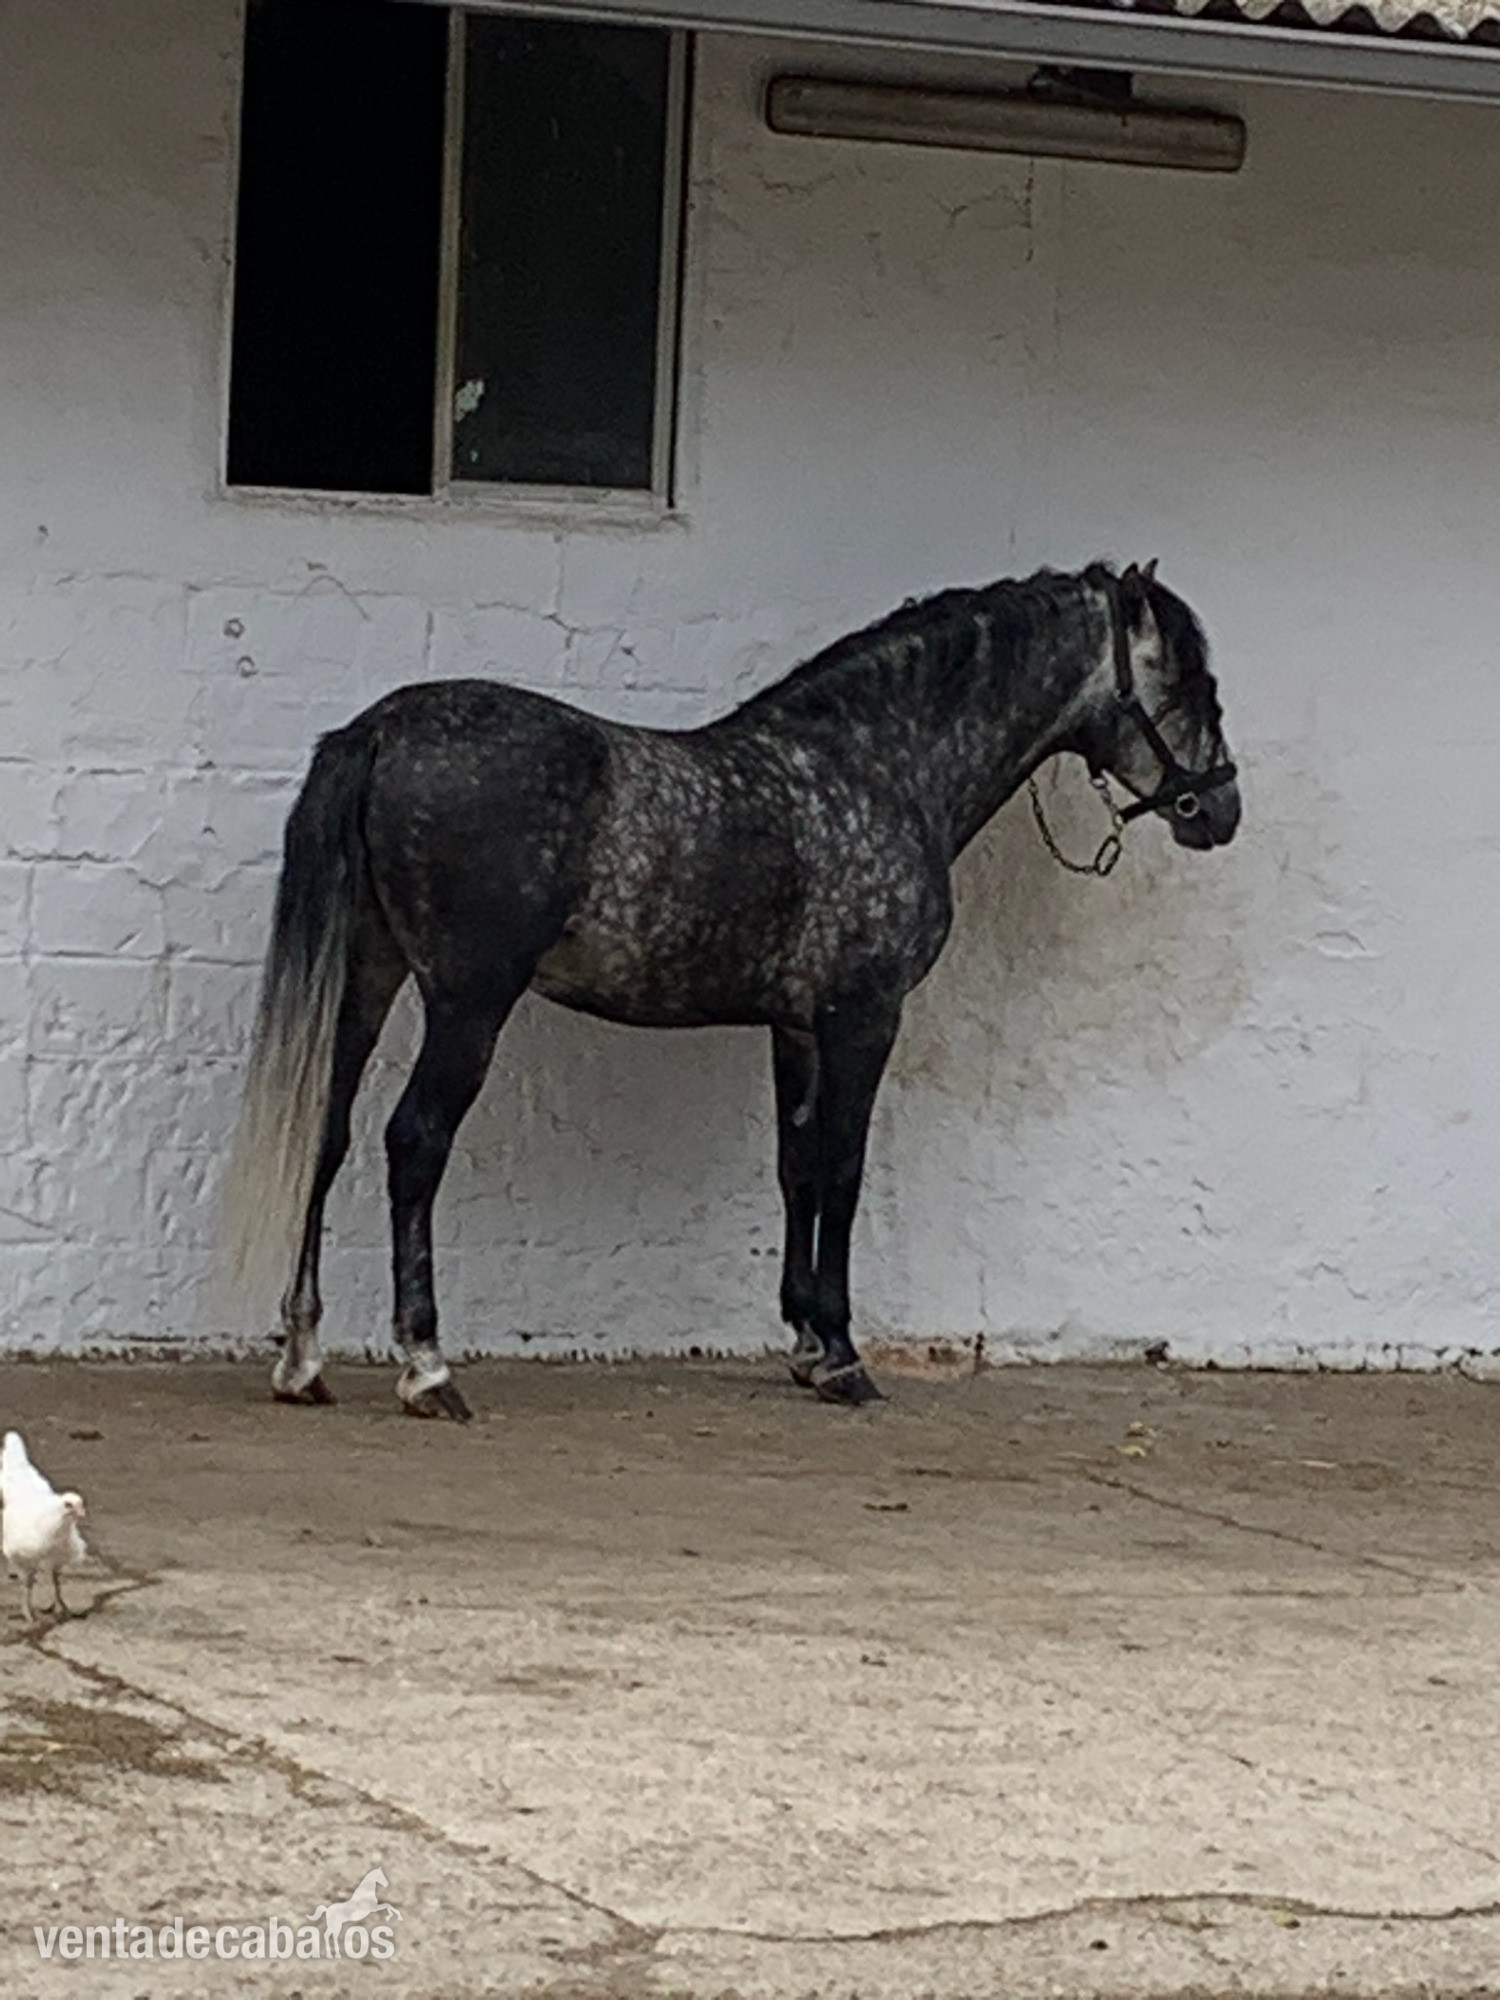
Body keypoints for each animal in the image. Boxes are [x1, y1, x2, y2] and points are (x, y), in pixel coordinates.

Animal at [221, 560, 1239, 1419]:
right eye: (1190, 685)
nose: (1220, 810)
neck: (879, 767)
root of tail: (383, 729)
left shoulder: (796, 1029)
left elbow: (798, 1168)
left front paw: (804, 1342)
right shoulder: (864, 1018)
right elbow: (844, 1168)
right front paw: (843, 1358)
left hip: (368, 978)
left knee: (328, 1133)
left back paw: (302, 1359)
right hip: (468, 1003)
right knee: (413, 1142)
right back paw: (428, 1369)